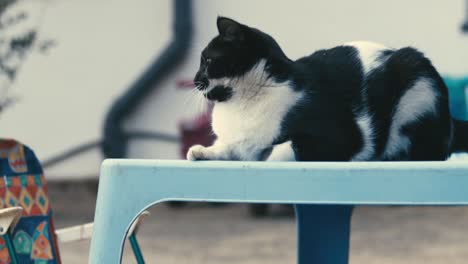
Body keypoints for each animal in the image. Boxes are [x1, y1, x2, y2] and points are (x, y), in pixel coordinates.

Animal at [188, 16, 468, 162]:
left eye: (207, 60)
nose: (194, 78)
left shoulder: (342, 136)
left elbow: (285, 147)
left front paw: (266, 154)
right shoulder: (235, 143)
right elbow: (229, 148)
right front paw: (201, 151)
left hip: (416, 78)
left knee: (429, 151)